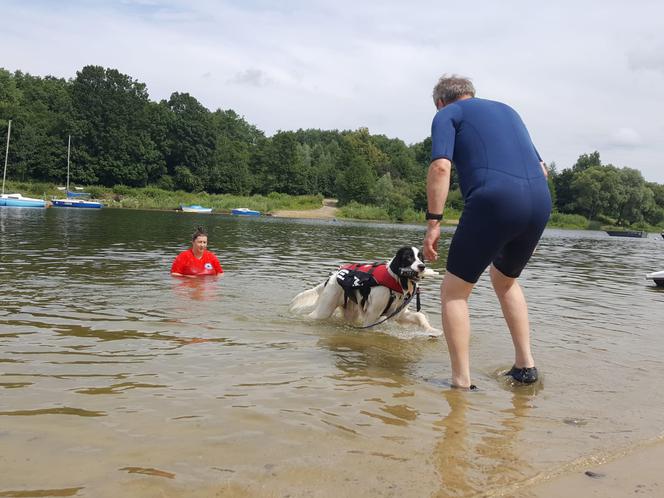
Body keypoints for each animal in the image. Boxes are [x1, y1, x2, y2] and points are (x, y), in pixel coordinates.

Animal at [290, 247, 440, 336]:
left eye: (421, 257)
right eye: (409, 257)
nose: (422, 266)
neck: (395, 280)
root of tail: (332, 277)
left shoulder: (399, 313)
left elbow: (420, 316)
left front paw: (432, 330)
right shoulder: (373, 313)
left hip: (351, 310)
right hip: (325, 308)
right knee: (313, 316)